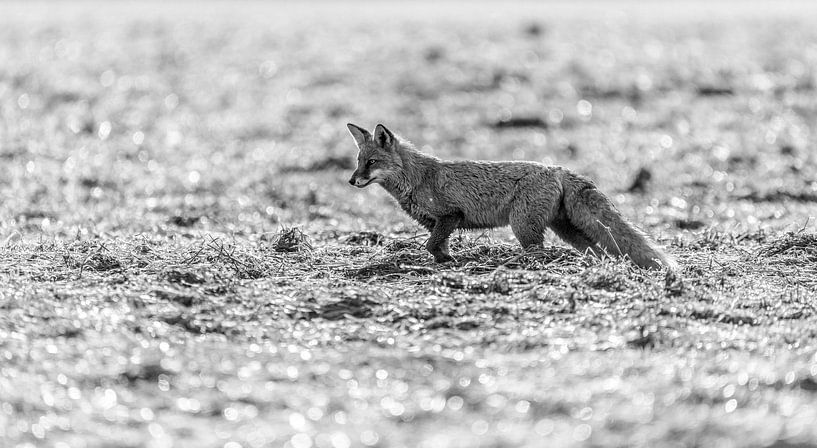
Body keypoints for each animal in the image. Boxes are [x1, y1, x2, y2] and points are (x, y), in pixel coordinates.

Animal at [346, 122, 676, 270]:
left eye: (371, 162)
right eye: (358, 161)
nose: (352, 180)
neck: (415, 178)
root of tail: (557, 168)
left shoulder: (450, 215)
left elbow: (431, 243)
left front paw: (449, 261)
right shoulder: (435, 222)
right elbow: (436, 245)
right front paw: (446, 260)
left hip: (523, 226)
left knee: (540, 250)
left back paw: (517, 263)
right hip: (565, 229)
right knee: (595, 250)